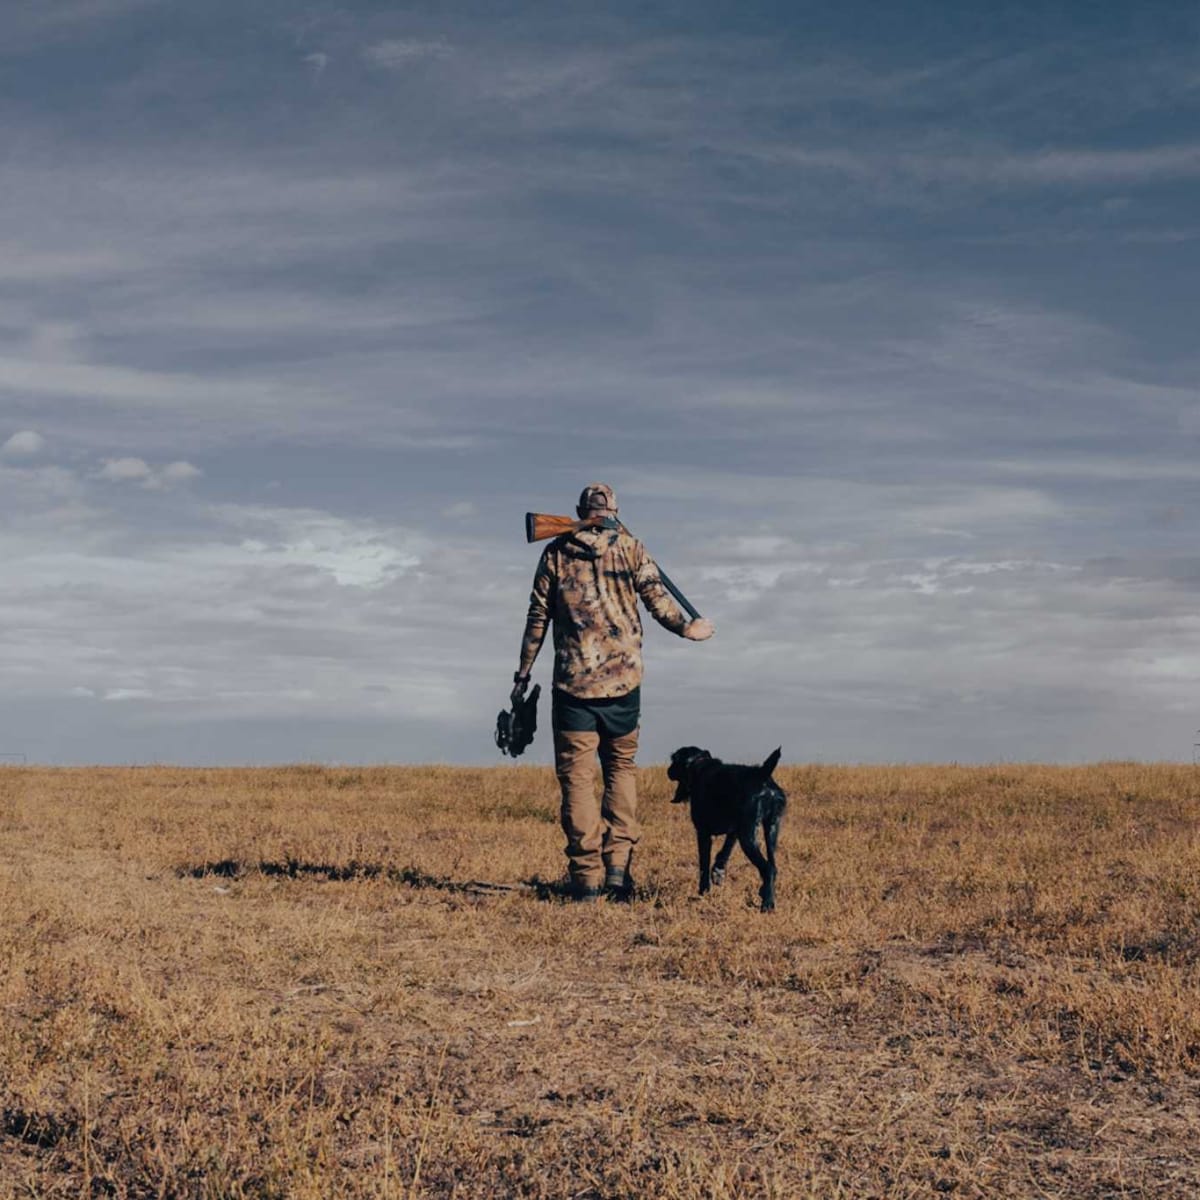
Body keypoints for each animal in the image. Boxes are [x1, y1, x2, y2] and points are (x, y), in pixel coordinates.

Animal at [667, 739, 787, 907]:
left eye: (674, 759)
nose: (668, 771)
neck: (699, 765)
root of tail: (762, 774)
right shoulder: (735, 830)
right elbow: (725, 850)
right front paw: (718, 872)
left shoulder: (703, 833)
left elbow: (704, 863)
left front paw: (703, 891)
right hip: (771, 830)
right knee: (773, 866)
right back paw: (765, 891)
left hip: (748, 837)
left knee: (768, 868)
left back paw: (767, 904)